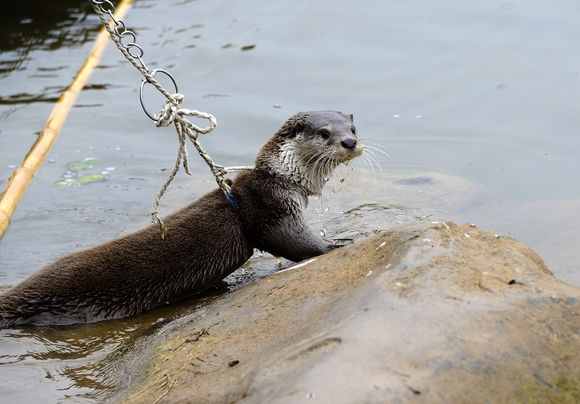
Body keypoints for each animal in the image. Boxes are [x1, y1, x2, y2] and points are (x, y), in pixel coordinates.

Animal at [0, 110, 362, 328]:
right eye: (325, 133)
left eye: (353, 128)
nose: (350, 142)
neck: (284, 179)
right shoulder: (270, 208)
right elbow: (293, 241)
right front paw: (334, 244)